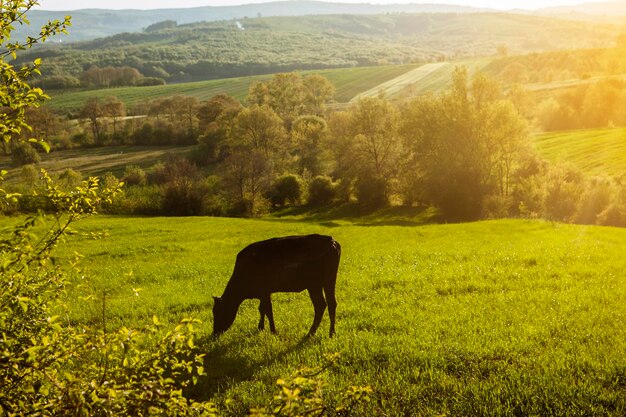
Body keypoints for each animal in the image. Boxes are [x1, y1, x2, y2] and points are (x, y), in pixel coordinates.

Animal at [213, 234, 342, 338]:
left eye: (218, 312)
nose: (214, 333)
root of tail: (331, 240)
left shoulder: (264, 291)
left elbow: (268, 310)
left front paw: (273, 331)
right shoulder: (264, 293)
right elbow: (262, 309)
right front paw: (261, 327)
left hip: (314, 284)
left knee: (320, 305)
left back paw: (311, 333)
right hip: (328, 281)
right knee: (331, 303)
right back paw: (331, 333)